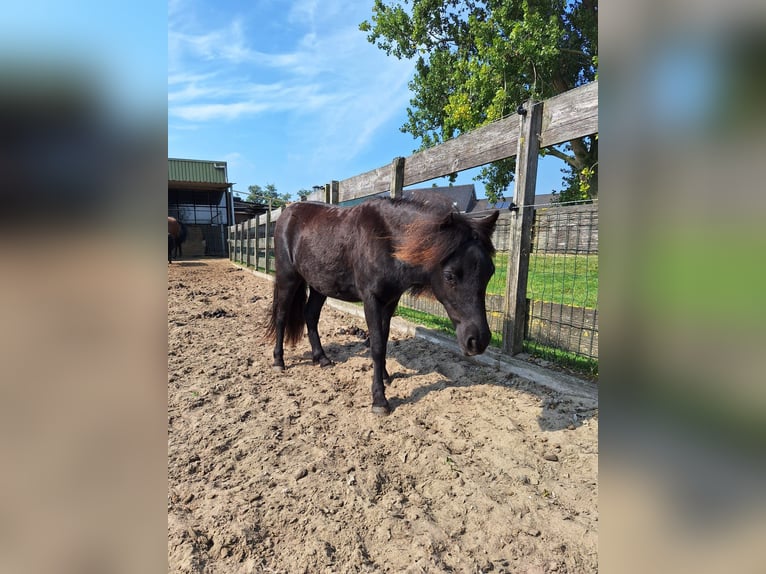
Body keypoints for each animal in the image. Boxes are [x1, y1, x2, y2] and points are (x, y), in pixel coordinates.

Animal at [268, 191, 500, 416]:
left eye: (490, 272)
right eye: (450, 275)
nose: (478, 340)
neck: (386, 240)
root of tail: (286, 213)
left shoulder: (390, 301)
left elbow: (385, 338)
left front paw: (386, 376)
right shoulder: (371, 300)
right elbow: (377, 345)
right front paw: (379, 400)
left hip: (319, 285)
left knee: (311, 315)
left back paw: (322, 358)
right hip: (288, 278)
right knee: (281, 316)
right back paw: (279, 361)